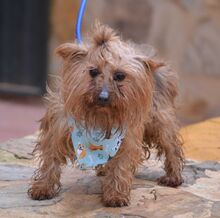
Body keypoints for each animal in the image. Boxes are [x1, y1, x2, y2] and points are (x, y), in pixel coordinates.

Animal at [28, 23, 184, 207]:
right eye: (93, 71)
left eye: (119, 76)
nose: (103, 97)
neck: (99, 117)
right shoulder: (57, 129)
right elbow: (50, 159)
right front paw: (43, 187)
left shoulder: (127, 138)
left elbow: (121, 165)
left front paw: (116, 194)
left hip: (160, 120)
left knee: (171, 146)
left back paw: (173, 176)